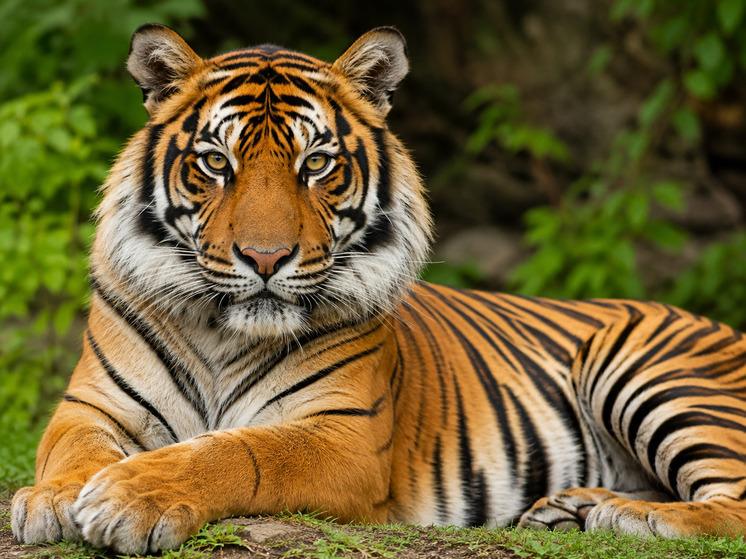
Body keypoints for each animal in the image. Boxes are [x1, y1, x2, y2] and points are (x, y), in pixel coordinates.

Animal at [10, 24, 746, 555]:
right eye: (216, 163)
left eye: (316, 164)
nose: (266, 257)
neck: (222, 332)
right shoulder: (89, 407)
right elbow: (73, 451)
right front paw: (52, 499)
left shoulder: (345, 435)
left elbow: (242, 452)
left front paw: (130, 497)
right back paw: (573, 507)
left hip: (649, 372)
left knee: (733, 504)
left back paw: (621, 517)